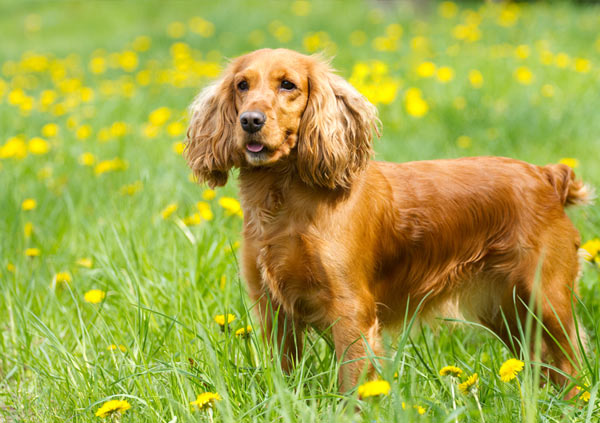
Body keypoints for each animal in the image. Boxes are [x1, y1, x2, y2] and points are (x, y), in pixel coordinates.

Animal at [186, 48, 592, 392]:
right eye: (242, 85)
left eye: (288, 84)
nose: (250, 120)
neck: (285, 202)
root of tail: (548, 176)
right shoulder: (272, 309)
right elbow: (285, 378)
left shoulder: (351, 310)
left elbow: (353, 384)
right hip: (507, 311)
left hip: (546, 298)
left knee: (571, 364)